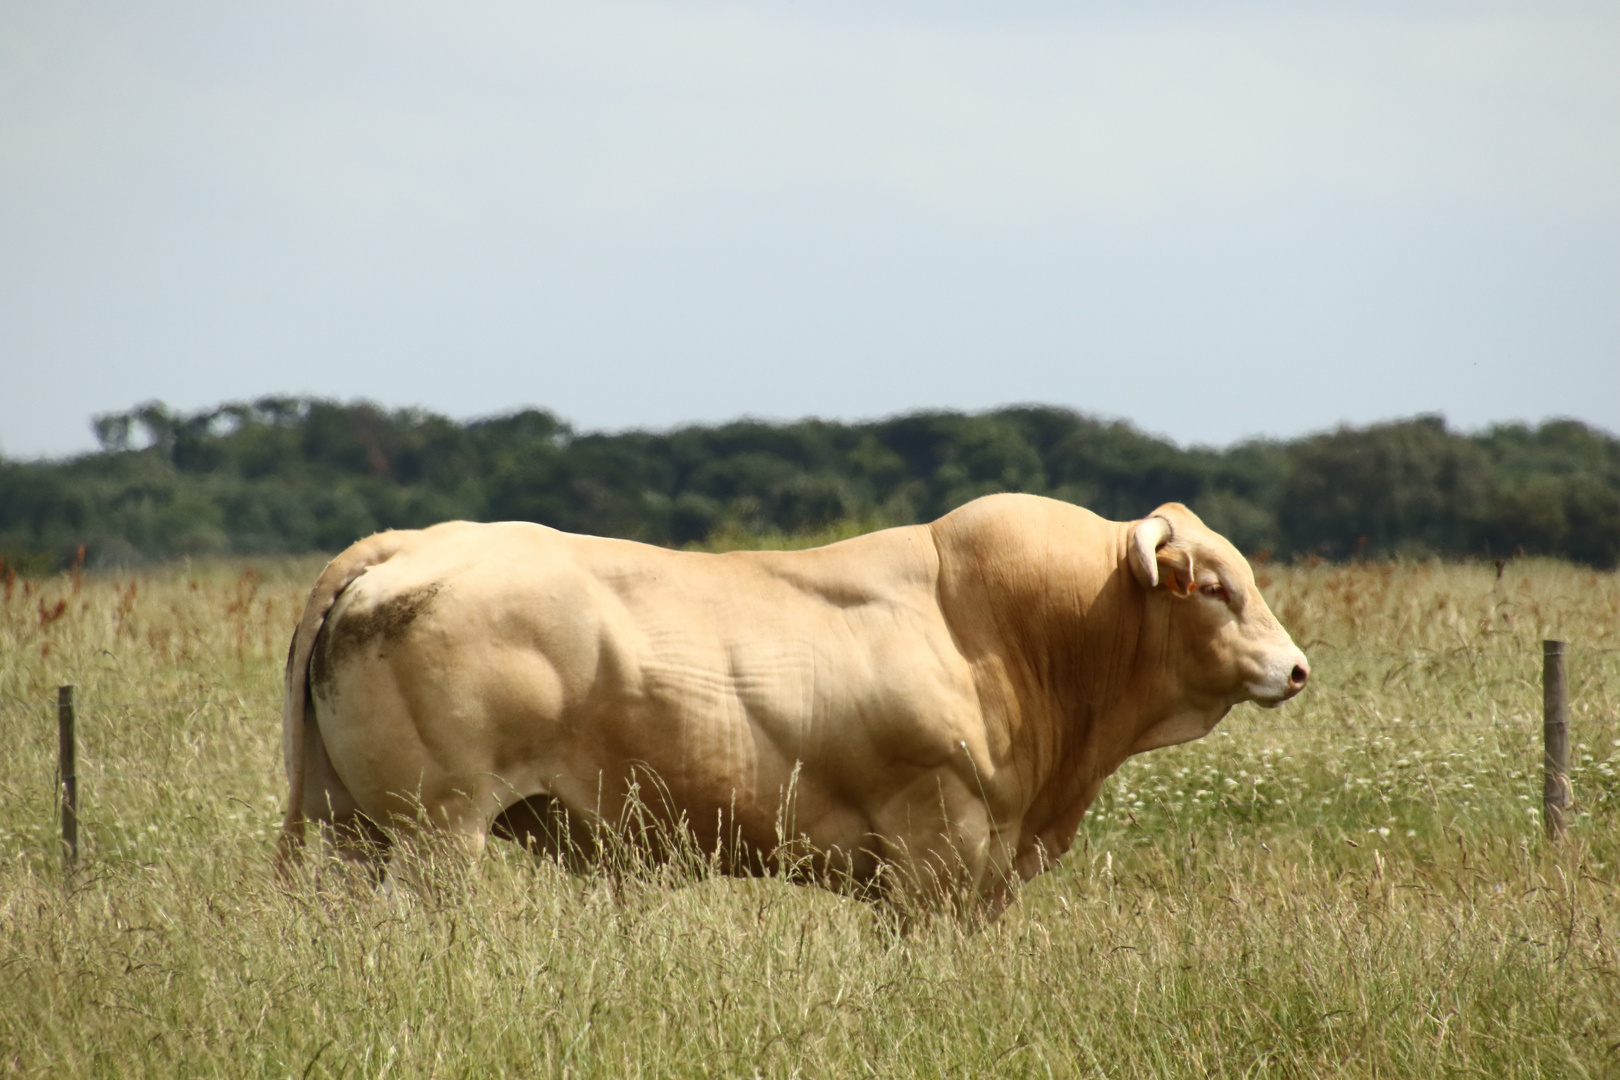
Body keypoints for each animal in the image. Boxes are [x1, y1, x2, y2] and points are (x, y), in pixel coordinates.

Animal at [278, 498, 1308, 913]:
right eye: (1215, 586)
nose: (1297, 668)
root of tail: (410, 543)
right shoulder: (939, 848)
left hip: (347, 825)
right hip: (435, 830)